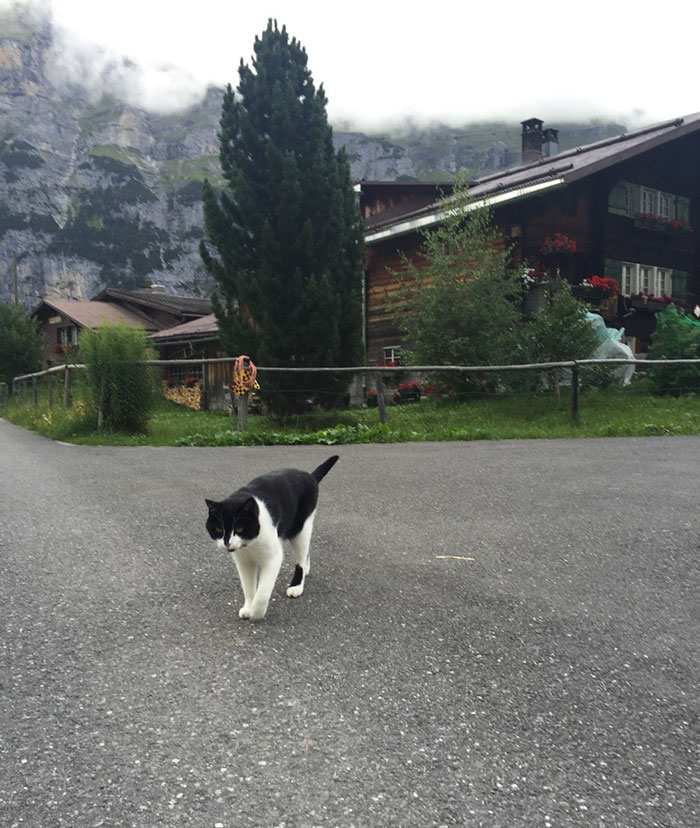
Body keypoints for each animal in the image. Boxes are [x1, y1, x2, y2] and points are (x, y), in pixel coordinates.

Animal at [205, 452, 340, 620]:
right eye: (218, 529)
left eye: (240, 528)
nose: (227, 542)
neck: (249, 545)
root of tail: (309, 476)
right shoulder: (244, 562)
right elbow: (248, 587)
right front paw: (248, 607)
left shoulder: (273, 559)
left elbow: (262, 592)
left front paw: (257, 612)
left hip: (301, 528)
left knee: (300, 559)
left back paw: (297, 585)